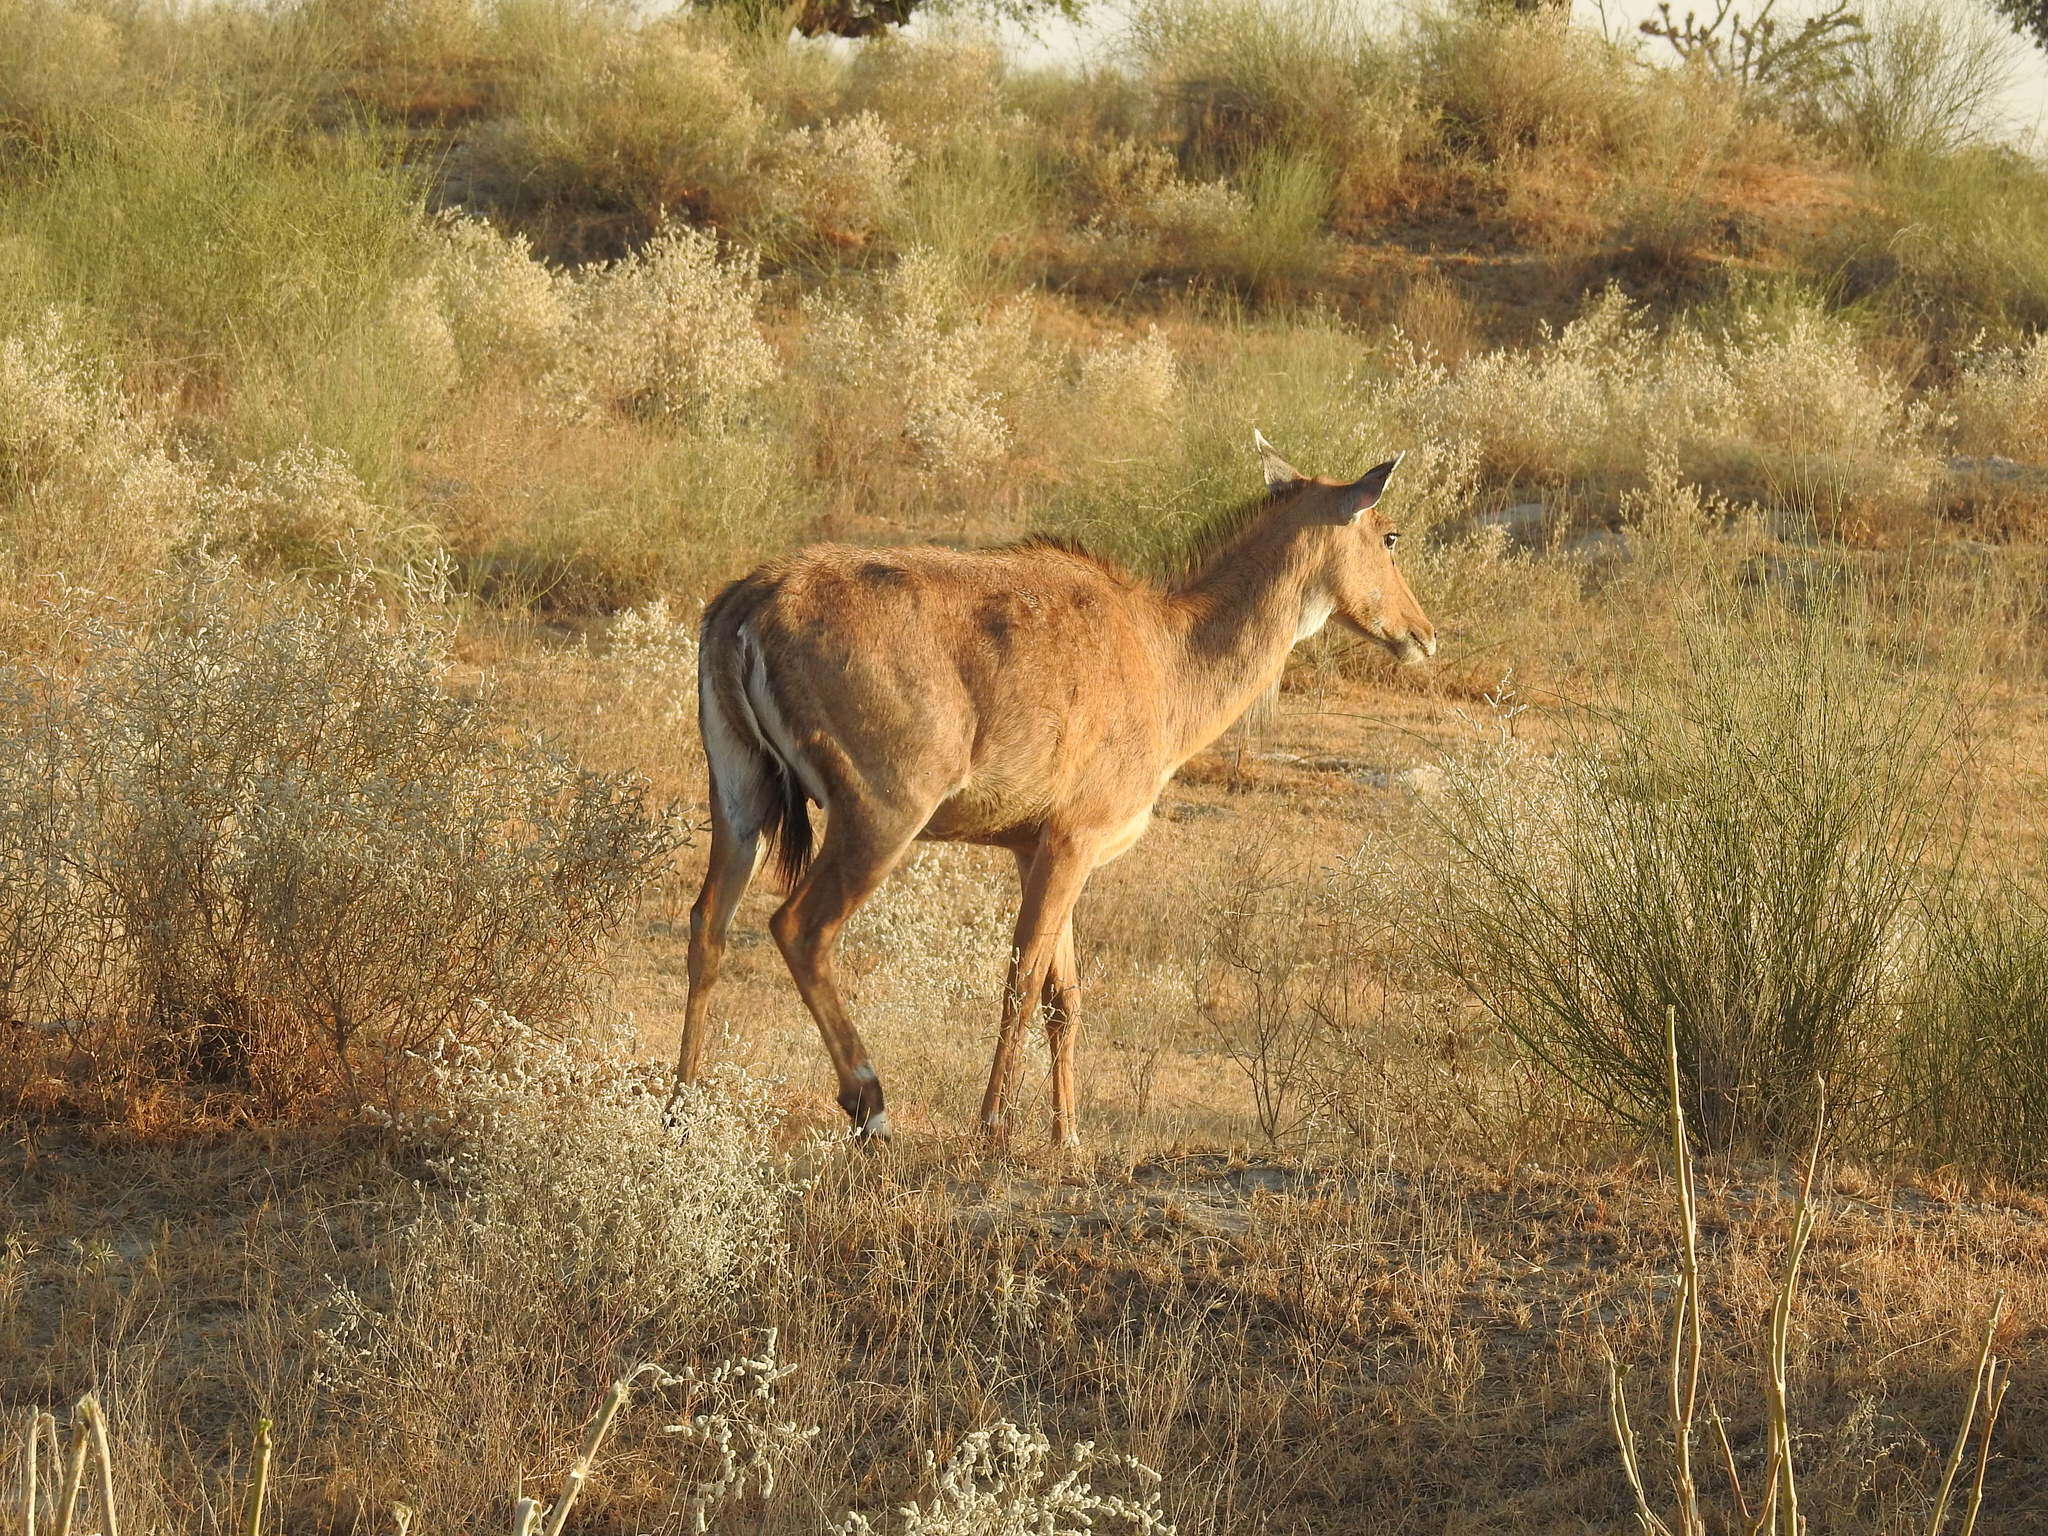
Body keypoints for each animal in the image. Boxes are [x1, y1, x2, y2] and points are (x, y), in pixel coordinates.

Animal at [675, 438, 1441, 1146]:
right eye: (1390, 535)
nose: (1423, 634)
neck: (1169, 658)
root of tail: (743, 609)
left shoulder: (1036, 845)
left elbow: (1062, 994)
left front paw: (1068, 1137)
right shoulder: (1076, 835)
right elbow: (1022, 979)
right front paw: (993, 1129)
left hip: (738, 792)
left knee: (708, 921)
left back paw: (681, 1110)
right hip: (882, 810)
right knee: (798, 927)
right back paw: (871, 1105)